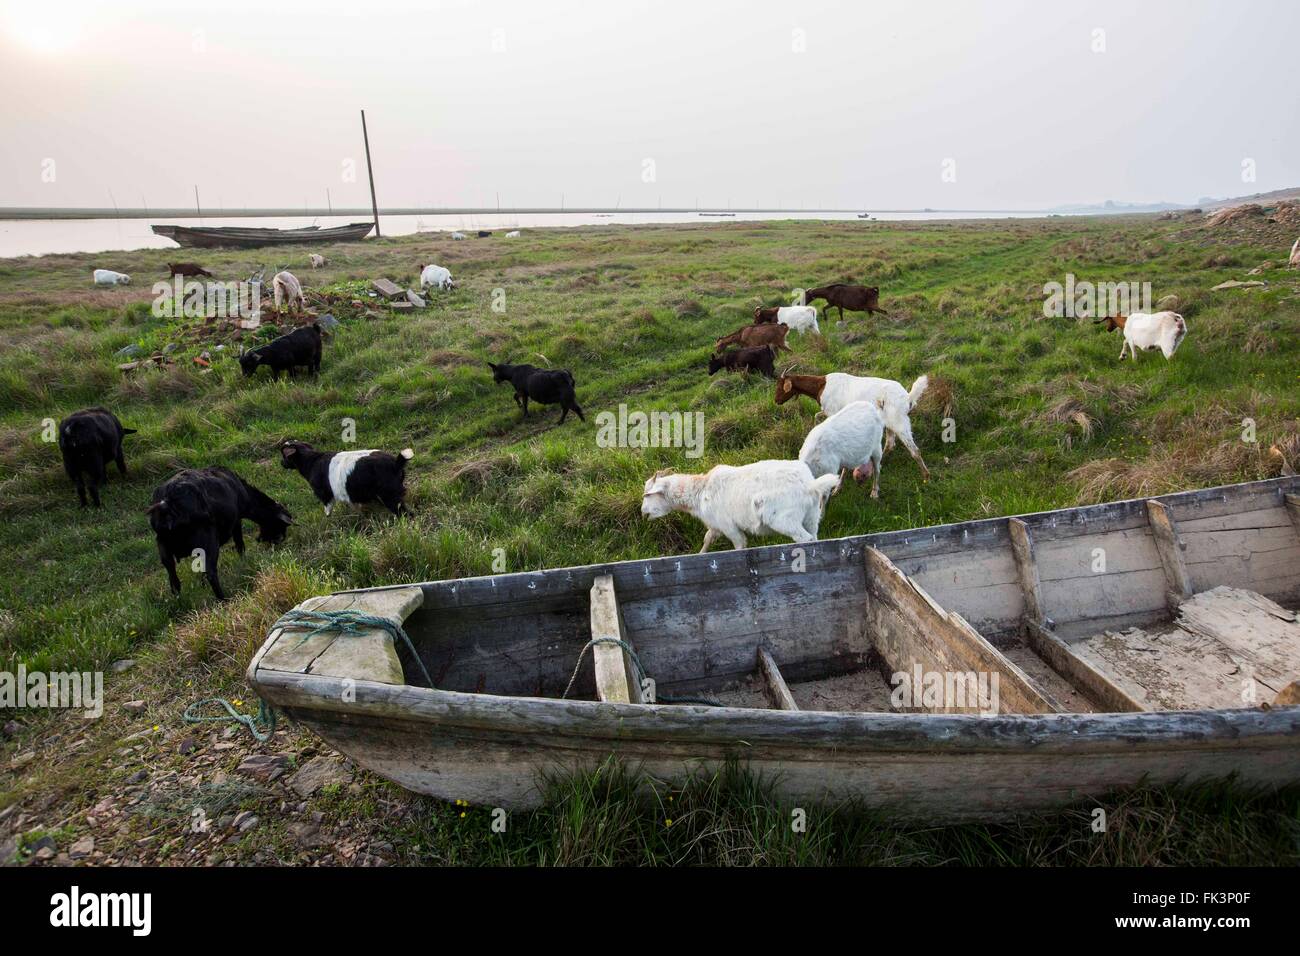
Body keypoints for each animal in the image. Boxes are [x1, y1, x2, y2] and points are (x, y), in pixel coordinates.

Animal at [147, 467, 293, 600]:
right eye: (280, 524)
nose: (278, 541)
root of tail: (168, 503)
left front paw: (202, 585)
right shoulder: (236, 521)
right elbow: (240, 544)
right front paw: (243, 562)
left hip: (162, 543)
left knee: (173, 577)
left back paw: (179, 600)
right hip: (208, 539)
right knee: (210, 571)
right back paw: (223, 599)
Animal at [280, 441, 414, 516]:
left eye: (284, 455)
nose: (281, 463)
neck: (312, 460)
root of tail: (396, 463)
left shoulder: (324, 494)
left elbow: (328, 508)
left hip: (390, 495)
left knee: (405, 513)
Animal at [640, 461, 841, 552]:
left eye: (648, 495)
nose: (643, 513)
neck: (700, 491)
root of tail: (809, 485)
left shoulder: (729, 527)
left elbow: (739, 544)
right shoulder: (716, 525)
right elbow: (707, 538)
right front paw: (700, 554)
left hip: (784, 519)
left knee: (804, 538)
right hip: (812, 516)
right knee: (814, 536)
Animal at [775, 370, 931, 480]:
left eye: (780, 386)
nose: (776, 400)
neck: (822, 385)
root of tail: (908, 398)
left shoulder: (832, 412)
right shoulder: (827, 411)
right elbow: (816, 416)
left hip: (899, 421)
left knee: (914, 450)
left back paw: (926, 476)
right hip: (890, 423)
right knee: (890, 444)